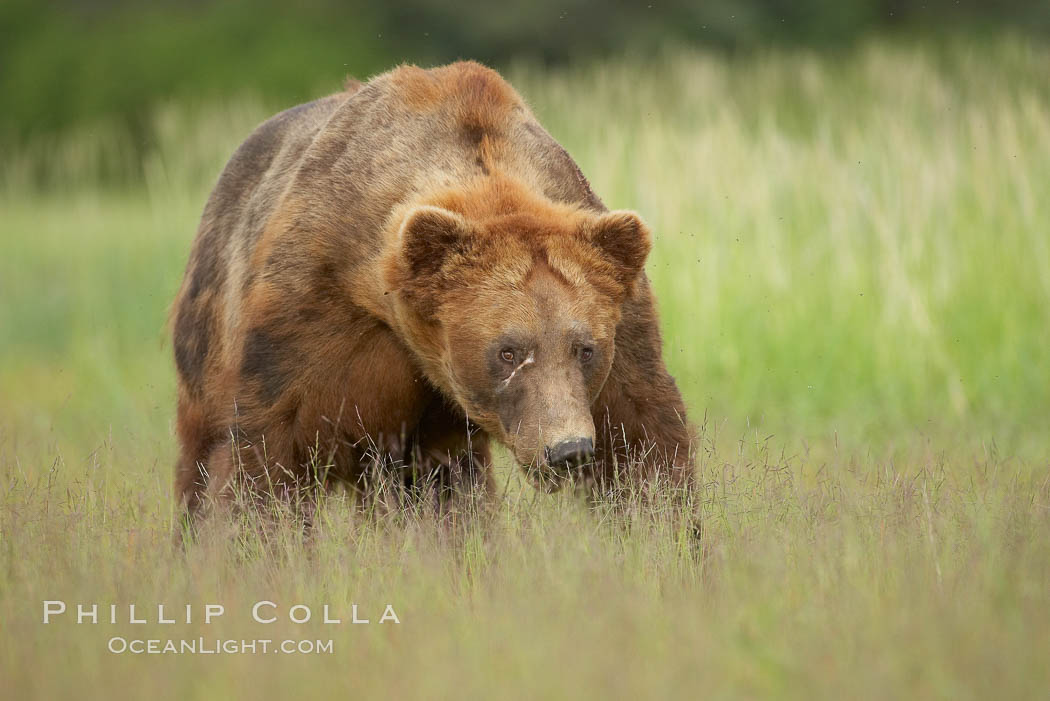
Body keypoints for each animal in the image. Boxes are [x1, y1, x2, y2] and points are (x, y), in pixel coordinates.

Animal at [171, 60, 692, 518]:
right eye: (507, 351)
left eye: (585, 348)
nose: (568, 450)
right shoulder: (307, 309)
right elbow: (270, 447)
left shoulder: (622, 332)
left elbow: (642, 439)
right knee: (199, 456)